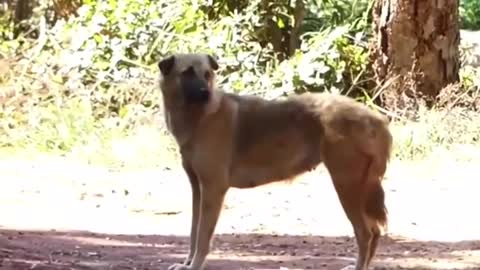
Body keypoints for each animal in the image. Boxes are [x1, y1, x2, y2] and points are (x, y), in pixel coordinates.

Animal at [159, 52, 392, 270]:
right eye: (188, 73)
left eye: (207, 74)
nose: (205, 94)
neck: (201, 116)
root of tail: (377, 119)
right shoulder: (198, 189)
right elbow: (193, 232)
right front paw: (187, 264)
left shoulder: (213, 190)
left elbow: (202, 238)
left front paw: (195, 265)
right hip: (358, 190)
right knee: (374, 232)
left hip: (347, 186)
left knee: (366, 233)